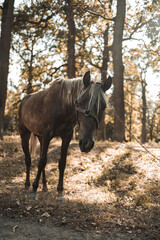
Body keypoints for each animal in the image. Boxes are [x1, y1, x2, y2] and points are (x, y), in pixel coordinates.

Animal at [18, 71, 112, 199]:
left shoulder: (66, 137)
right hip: (25, 134)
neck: (61, 106)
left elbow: (61, 163)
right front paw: (34, 189)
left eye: (103, 106)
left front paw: (60, 191)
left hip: (40, 138)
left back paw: (45, 186)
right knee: (28, 159)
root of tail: (24, 100)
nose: (86, 144)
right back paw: (27, 186)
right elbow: (42, 161)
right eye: (79, 102)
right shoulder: (47, 135)